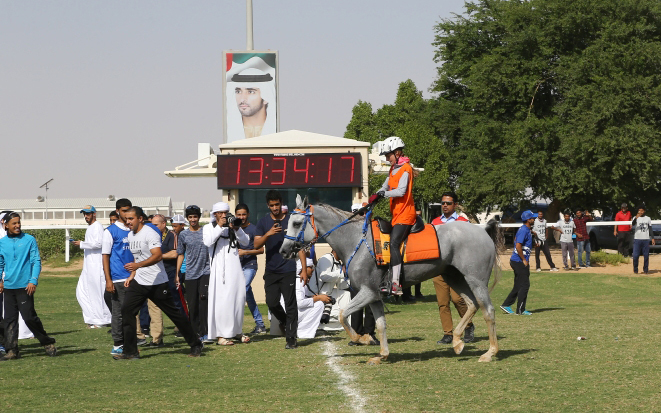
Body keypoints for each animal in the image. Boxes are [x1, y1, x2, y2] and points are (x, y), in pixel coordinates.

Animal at [278, 195, 500, 362]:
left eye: (296, 223)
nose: (283, 251)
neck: (356, 240)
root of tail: (481, 229)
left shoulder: (367, 292)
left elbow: (342, 314)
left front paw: (362, 339)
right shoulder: (375, 296)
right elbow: (380, 324)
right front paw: (382, 354)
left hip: (476, 280)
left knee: (487, 310)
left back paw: (490, 352)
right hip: (455, 277)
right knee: (472, 305)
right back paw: (457, 341)